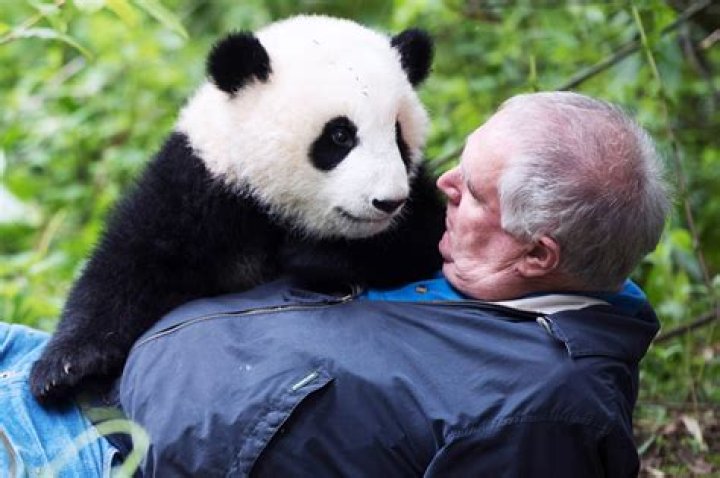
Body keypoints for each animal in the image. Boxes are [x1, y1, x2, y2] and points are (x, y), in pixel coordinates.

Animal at [30, 15, 446, 403]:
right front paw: (63, 367)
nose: (387, 201)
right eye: (340, 135)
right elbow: (130, 266)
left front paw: (313, 255)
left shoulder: (415, 203)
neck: (274, 208)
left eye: (398, 136)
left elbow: (423, 242)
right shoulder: (201, 187)